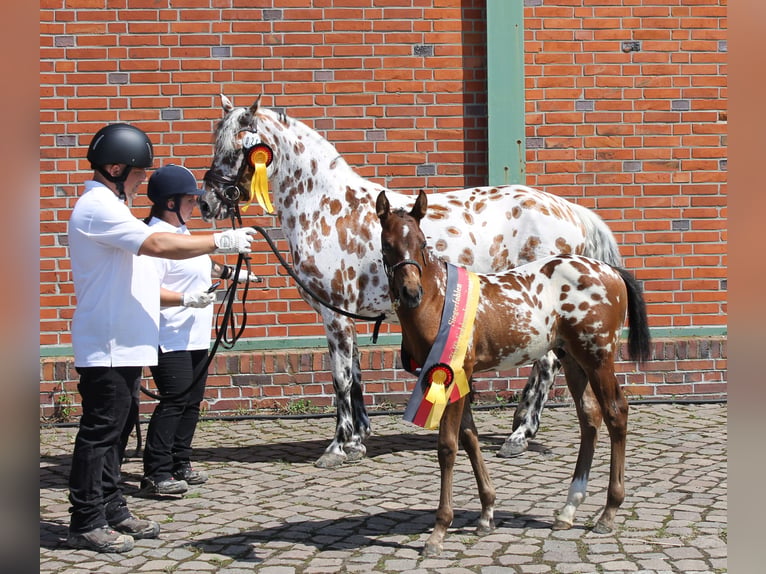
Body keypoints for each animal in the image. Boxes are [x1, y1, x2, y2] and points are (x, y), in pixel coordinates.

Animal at [200, 94, 624, 468]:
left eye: (238, 148)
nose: (207, 202)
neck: (329, 210)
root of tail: (568, 209)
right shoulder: (346, 315)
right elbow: (355, 375)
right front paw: (358, 440)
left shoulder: (335, 315)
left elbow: (340, 379)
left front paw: (336, 448)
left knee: (546, 364)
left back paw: (519, 436)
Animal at [375, 189, 650, 556]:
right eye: (387, 244)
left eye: (422, 242)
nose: (410, 293)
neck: (439, 300)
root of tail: (611, 270)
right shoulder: (461, 378)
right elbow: (470, 439)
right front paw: (486, 514)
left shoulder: (451, 373)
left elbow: (447, 447)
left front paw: (439, 531)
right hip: (573, 360)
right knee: (589, 417)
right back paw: (568, 509)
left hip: (598, 357)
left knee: (616, 413)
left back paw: (608, 512)